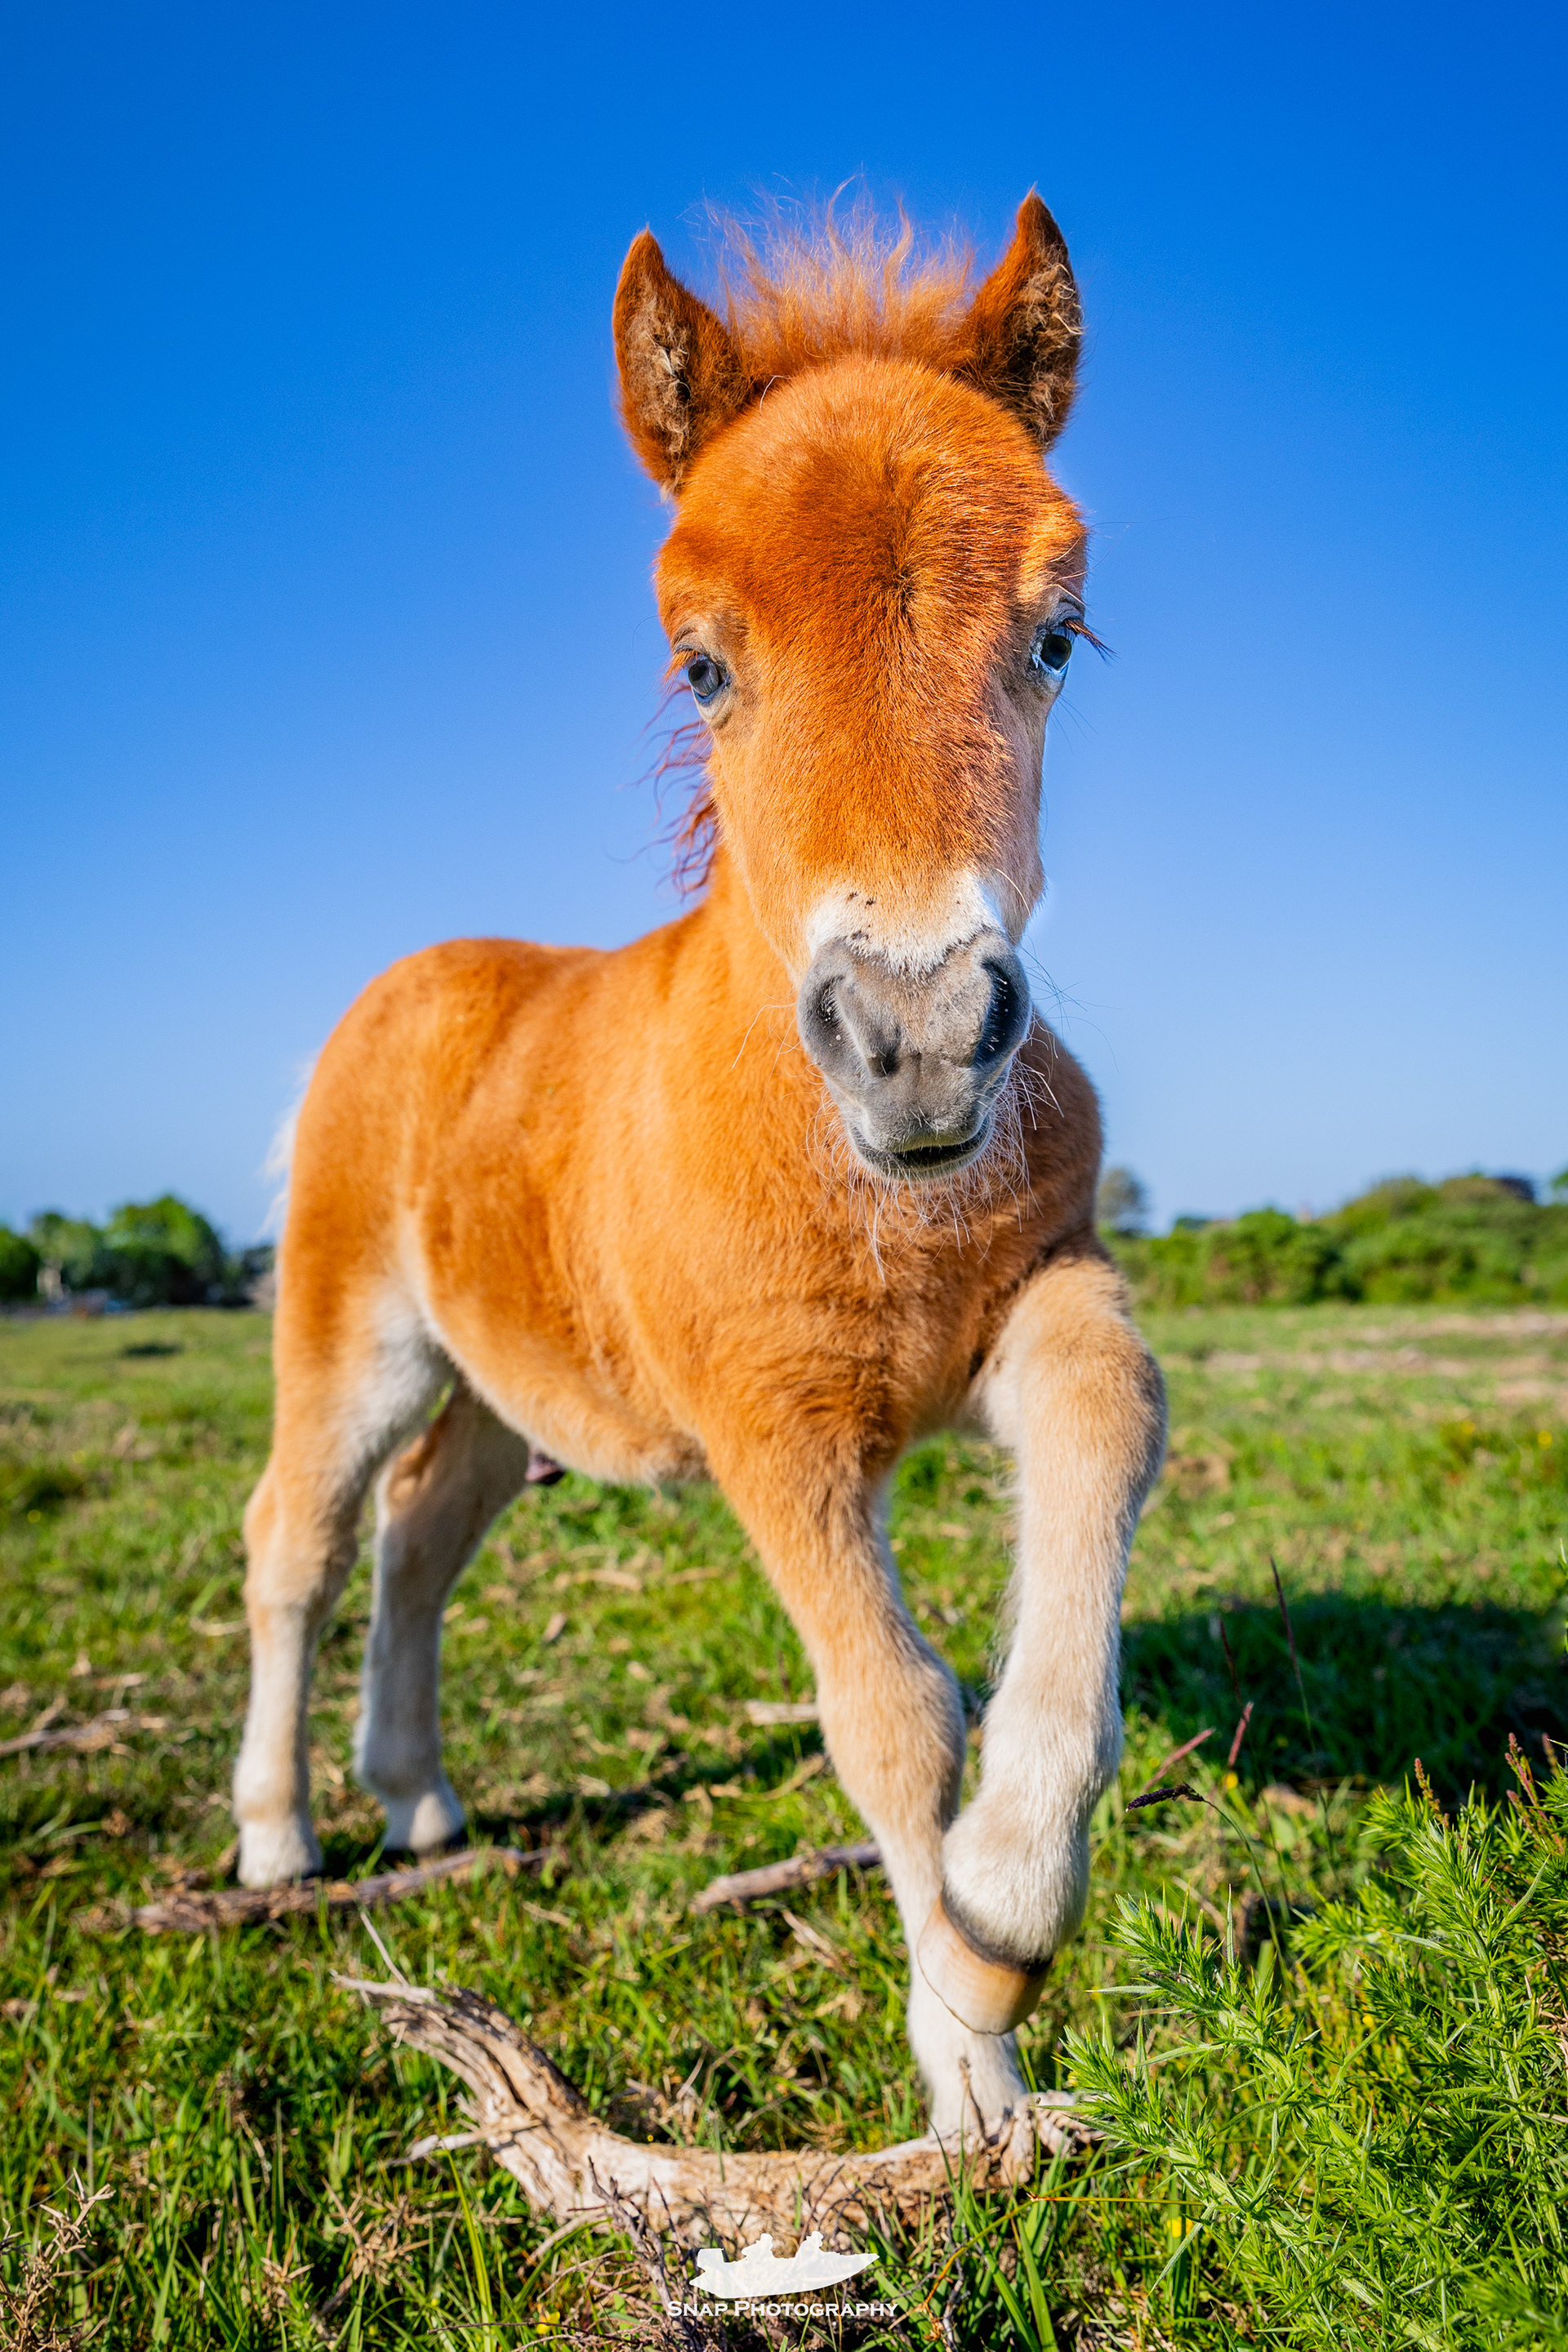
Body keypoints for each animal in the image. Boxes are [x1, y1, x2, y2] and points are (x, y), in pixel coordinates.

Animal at [233, 192, 1167, 2144]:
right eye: (701, 662)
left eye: (1062, 638)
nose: (919, 1036)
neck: (866, 1188)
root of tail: (401, 984)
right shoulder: (773, 1421)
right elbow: (889, 1709)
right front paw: (975, 2047)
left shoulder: (1031, 1300)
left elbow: (1109, 1423)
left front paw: (1015, 1882)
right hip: (353, 1335)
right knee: (302, 1533)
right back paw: (280, 1838)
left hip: (505, 1391)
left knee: (422, 1539)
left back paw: (417, 1803)